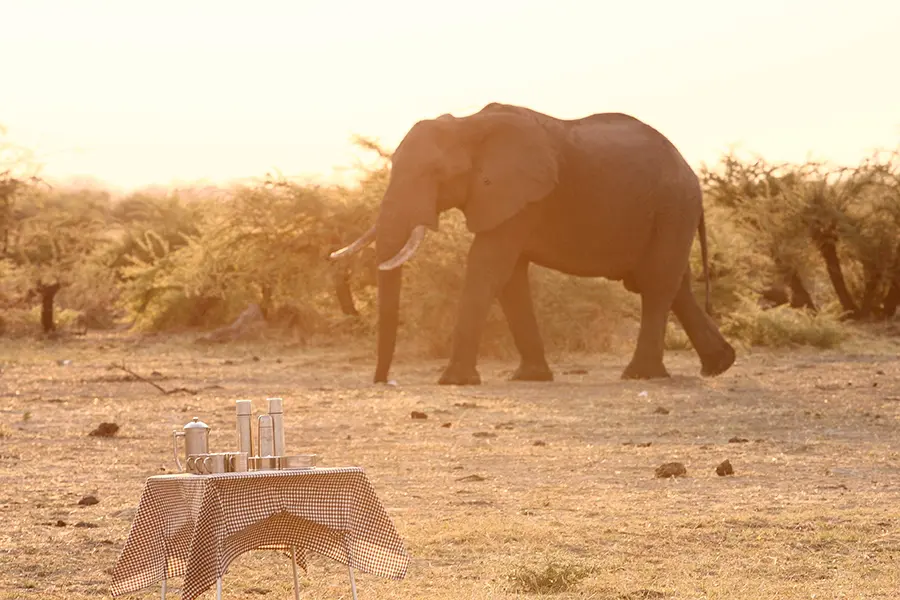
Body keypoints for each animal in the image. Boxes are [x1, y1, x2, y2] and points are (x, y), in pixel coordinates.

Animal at [326, 102, 736, 384]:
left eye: (437, 173)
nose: (384, 381)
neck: (468, 126)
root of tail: (689, 169)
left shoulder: (523, 197)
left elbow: (487, 265)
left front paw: (454, 381)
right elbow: (509, 277)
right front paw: (530, 377)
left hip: (672, 206)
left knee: (656, 282)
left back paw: (640, 375)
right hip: (669, 212)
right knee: (672, 284)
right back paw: (719, 365)